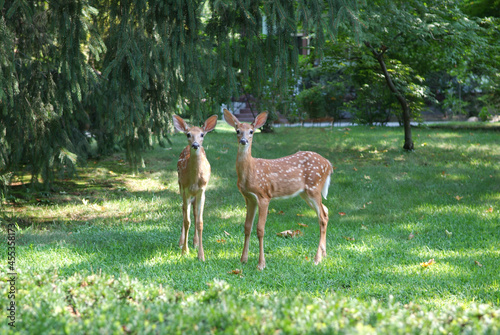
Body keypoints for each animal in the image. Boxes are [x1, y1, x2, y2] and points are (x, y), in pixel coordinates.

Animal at [173, 114, 218, 262]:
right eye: (188, 134)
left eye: (202, 134)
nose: (195, 145)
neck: (194, 180)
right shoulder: (186, 190)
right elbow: (187, 221)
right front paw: (184, 251)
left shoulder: (202, 191)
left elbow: (199, 222)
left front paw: (201, 255)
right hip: (180, 186)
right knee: (183, 210)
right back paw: (181, 242)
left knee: (193, 212)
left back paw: (195, 242)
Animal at [223, 109, 332, 272]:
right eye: (237, 131)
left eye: (251, 131)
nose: (243, 141)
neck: (251, 171)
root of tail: (329, 164)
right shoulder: (249, 198)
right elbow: (247, 227)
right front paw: (243, 259)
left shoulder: (264, 195)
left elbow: (260, 229)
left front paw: (261, 264)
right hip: (305, 193)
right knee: (325, 210)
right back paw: (323, 254)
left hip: (314, 187)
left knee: (322, 216)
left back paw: (317, 259)